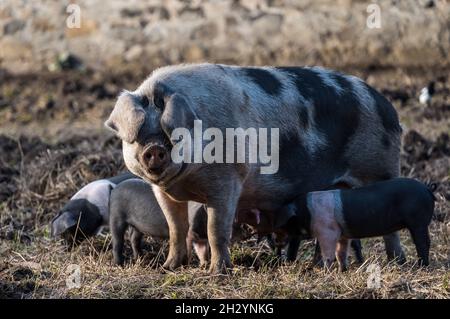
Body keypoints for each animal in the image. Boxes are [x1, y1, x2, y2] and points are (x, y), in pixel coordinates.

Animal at [104, 63, 404, 274]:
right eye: (140, 134)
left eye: (172, 133)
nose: (154, 149)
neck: (185, 181)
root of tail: (390, 111)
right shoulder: (164, 192)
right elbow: (176, 228)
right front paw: (169, 268)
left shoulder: (228, 180)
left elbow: (216, 230)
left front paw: (217, 273)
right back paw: (324, 267)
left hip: (380, 170)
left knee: (391, 229)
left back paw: (396, 264)